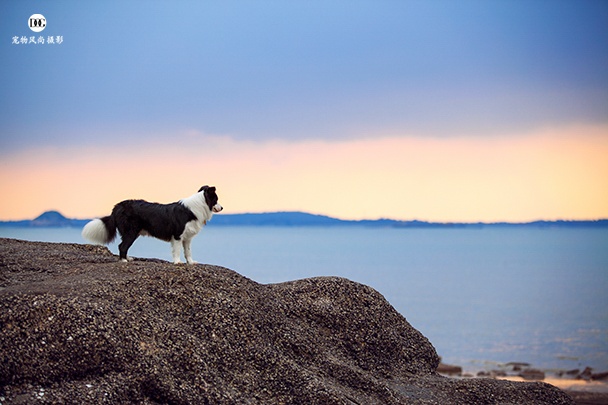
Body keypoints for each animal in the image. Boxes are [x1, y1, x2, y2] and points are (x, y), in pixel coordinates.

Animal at [81, 185, 223, 264]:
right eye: (216, 199)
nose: (222, 207)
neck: (198, 206)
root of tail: (117, 207)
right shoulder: (177, 235)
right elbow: (177, 250)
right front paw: (177, 262)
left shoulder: (187, 237)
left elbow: (188, 251)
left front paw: (191, 262)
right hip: (131, 231)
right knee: (122, 246)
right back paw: (124, 260)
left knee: (123, 246)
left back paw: (128, 258)